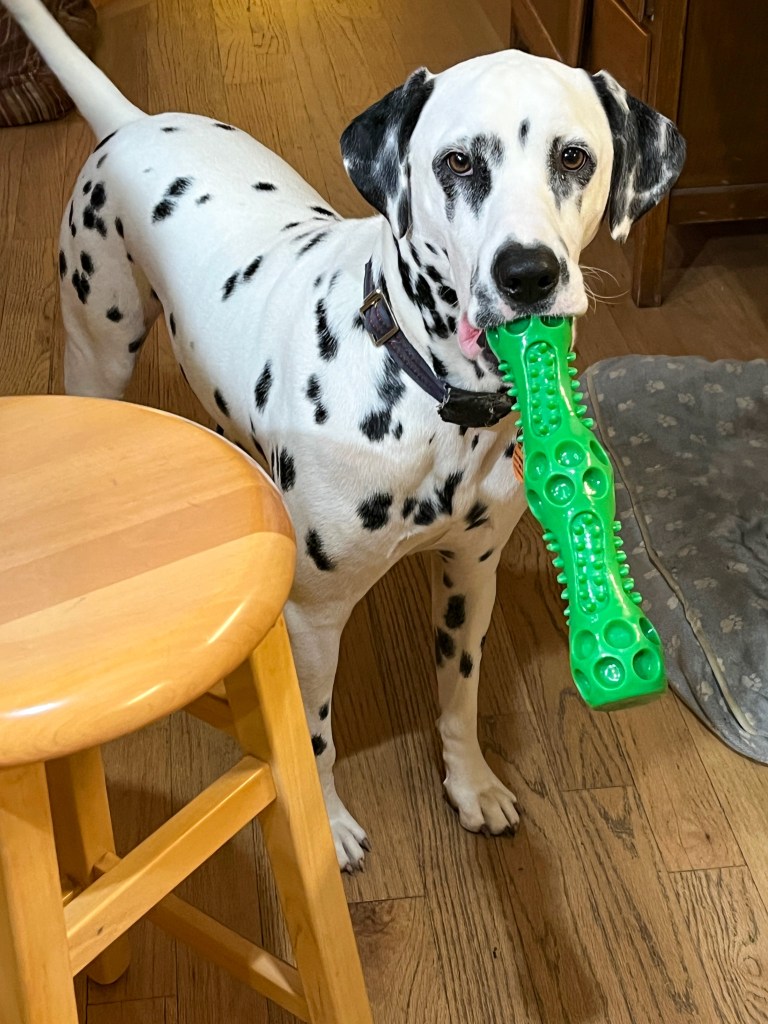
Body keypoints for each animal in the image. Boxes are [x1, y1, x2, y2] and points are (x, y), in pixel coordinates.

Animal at [4, 0, 684, 871]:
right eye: (458, 162)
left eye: (574, 157)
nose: (528, 273)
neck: (432, 400)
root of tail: (132, 122)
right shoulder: (311, 618)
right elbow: (317, 737)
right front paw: (328, 827)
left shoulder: (472, 576)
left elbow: (459, 697)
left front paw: (471, 785)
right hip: (100, 345)